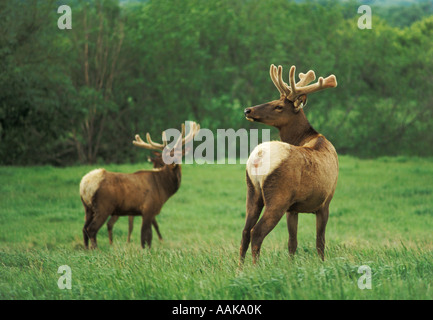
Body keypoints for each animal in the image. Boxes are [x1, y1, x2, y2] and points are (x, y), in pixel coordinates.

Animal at [79, 121, 199, 249]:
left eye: (178, 154)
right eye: (165, 156)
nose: (172, 164)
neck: (163, 188)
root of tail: (84, 185)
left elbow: (146, 236)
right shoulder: (148, 208)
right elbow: (146, 237)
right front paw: (147, 251)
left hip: (88, 208)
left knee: (84, 229)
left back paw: (86, 249)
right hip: (103, 206)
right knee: (91, 229)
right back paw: (96, 250)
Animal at [240, 63, 338, 264]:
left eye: (278, 105)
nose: (248, 110)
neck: (310, 137)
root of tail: (258, 157)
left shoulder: (293, 208)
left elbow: (292, 242)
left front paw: (292, 265)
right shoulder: (325, 201)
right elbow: (320, 242)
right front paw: (322, 264)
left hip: (252, 191)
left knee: (245, 232)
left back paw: (240, 268)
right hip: (278, 195)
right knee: (256, 232)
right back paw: (255, 267)